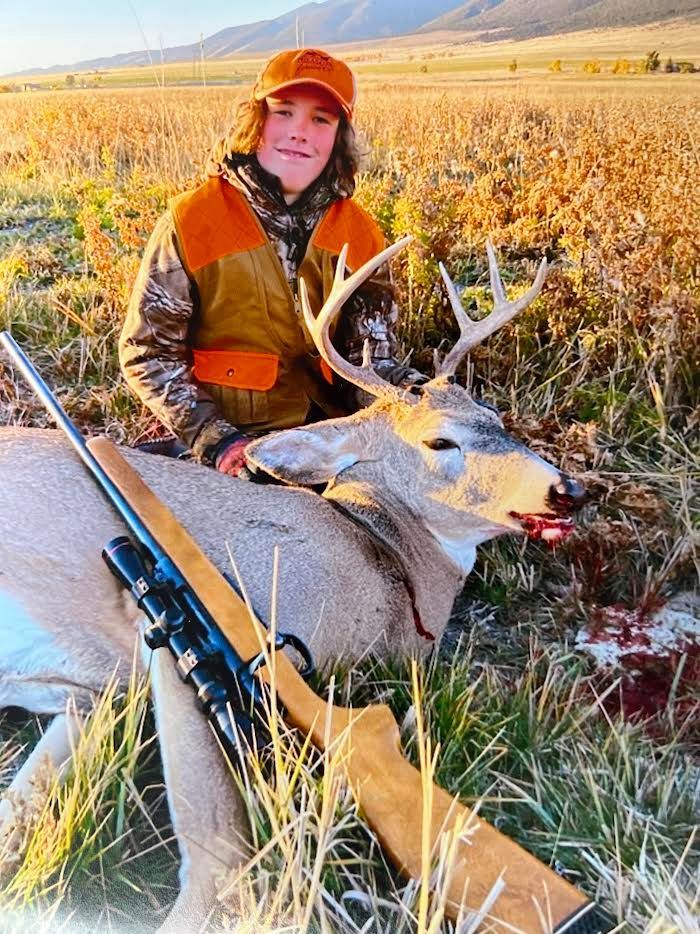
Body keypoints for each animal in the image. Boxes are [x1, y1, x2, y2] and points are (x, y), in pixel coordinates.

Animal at [0, 239, 584, 932]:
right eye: (439, 439)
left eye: (493, 415)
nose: (569, 489)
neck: (383, 558)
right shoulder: (188, 637)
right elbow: (220, 860)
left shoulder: (87, 694)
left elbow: (18, 816)